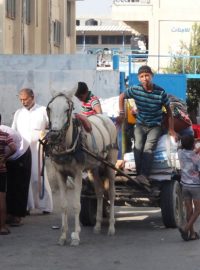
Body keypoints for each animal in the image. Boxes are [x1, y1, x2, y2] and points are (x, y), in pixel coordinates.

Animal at [44, 89, 118, 246]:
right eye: (49, 108)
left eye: (67, 109)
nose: (53, 135)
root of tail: (106, 117)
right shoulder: (60, 174)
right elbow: (64, 205)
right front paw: (63, 236)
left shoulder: (77, 173)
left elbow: (76, 205)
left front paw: (76, 236)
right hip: (94, 168)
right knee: (99, 193)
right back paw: (97, 225)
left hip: (110, 164)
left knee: (111, 194)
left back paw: (111, 227)